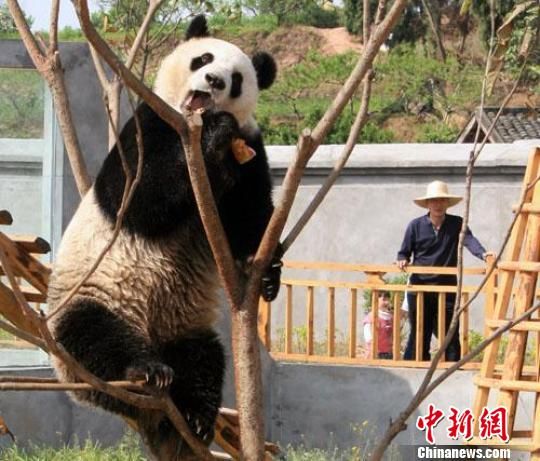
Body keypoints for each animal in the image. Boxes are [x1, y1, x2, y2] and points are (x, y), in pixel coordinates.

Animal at [46, 14, 280, 460]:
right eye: (203, 58)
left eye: (237, 79)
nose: (213, 80)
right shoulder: (144, 128)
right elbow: (137, 199)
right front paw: (213, 136)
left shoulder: (251, 150)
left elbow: (248, 221)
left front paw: (269, 272)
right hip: (90, 296)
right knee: (94, 336)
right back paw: (144, 372)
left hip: (183, 326)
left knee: (204, 357)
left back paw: (194, 415)